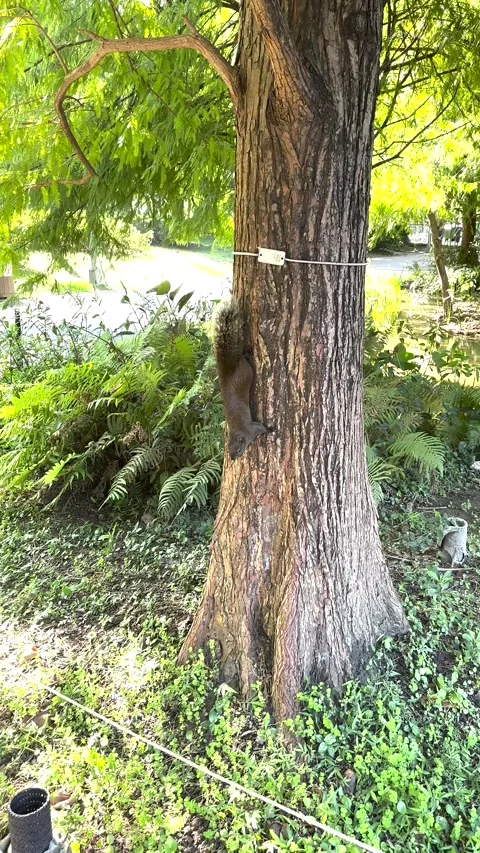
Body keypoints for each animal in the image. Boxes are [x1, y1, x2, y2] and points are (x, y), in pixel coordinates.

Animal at [213, 302, 268, 460]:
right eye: (228, 449)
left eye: (239, 449)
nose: (232, 459)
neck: (238, 432)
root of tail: (227, 371)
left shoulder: (252, 430)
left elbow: (262, 428)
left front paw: (271, 429)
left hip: (245, 372)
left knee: (244, 361)